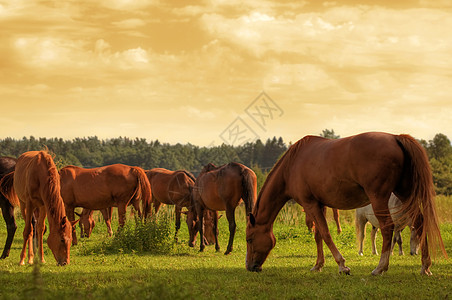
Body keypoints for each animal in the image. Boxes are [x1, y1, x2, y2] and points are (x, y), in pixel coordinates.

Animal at [245, 132, 446, 276]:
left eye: (249, 239)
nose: (249, 266)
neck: (292, 165)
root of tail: (395, 137)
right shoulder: (319, 205)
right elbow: (318, 235)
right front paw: (318, 265)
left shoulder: (310, 204)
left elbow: (326, 234)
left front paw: (342, 266)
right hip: (405, 194)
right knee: (420, 223)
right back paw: (425, 266)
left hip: (380, 198)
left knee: (388, 229)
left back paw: (380, 268)